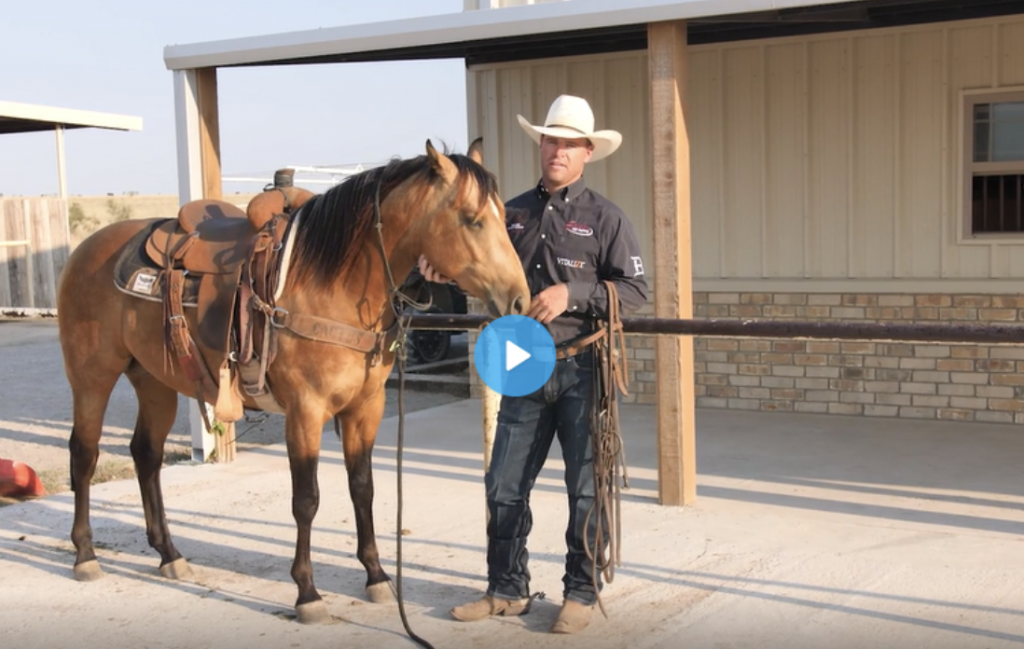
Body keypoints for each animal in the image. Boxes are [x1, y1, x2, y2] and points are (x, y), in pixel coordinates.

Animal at [56, 140, 529, 624]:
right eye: (472, 218)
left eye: (502, 216)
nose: (519, 299)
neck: (333, 282)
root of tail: (85, 250)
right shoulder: (305, 411)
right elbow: (307, 499)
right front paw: (307, 593)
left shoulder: (365, 408)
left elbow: (363, 488)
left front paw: (377, 576)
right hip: (92, 376)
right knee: (84, 455)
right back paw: (85, 555)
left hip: (155, 381)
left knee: (146, 455)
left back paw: (169, 555)